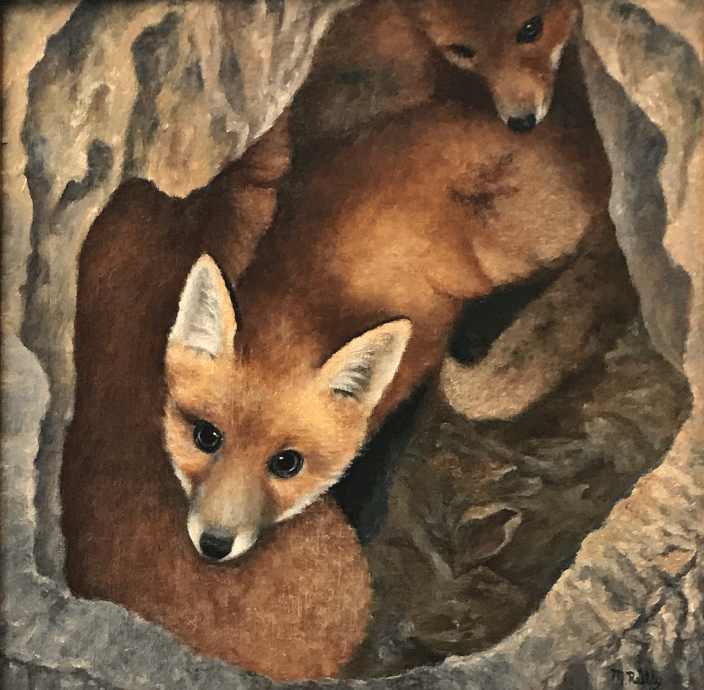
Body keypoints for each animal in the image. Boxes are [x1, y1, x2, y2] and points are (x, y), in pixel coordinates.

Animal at [164, 97, 613, 564]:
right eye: (206, 437)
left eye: (286, 463)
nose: (214, 544)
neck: (304, 293)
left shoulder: (423, 353)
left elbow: (387, 446)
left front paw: (363, 517)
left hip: (498, 244)